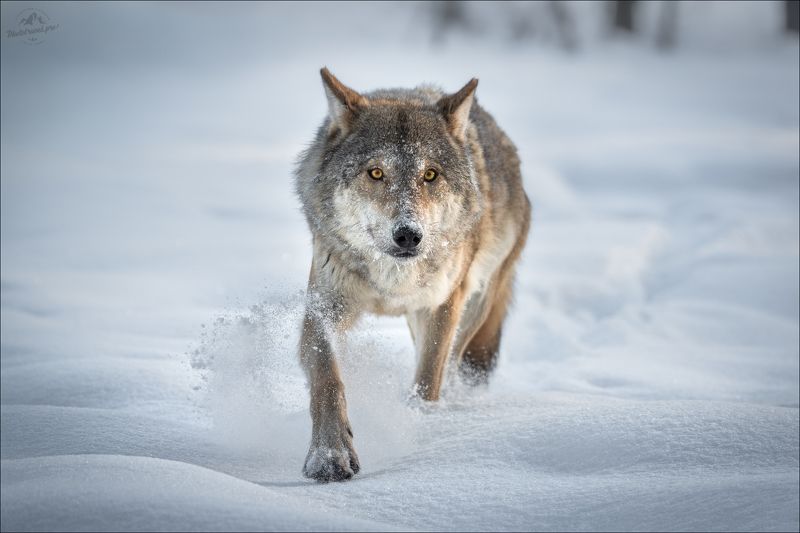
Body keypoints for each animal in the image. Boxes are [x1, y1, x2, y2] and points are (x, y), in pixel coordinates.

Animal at [294, 68, 531, 482]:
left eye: (430, 175)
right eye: (376, 172)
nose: (408, 234)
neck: (392, 281)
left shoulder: (442, 306)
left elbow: (428, 379)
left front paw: (417, 426)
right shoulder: (324, 307)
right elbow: (327, 380)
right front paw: (329, 454)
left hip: (474, 304)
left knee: (449, 370)